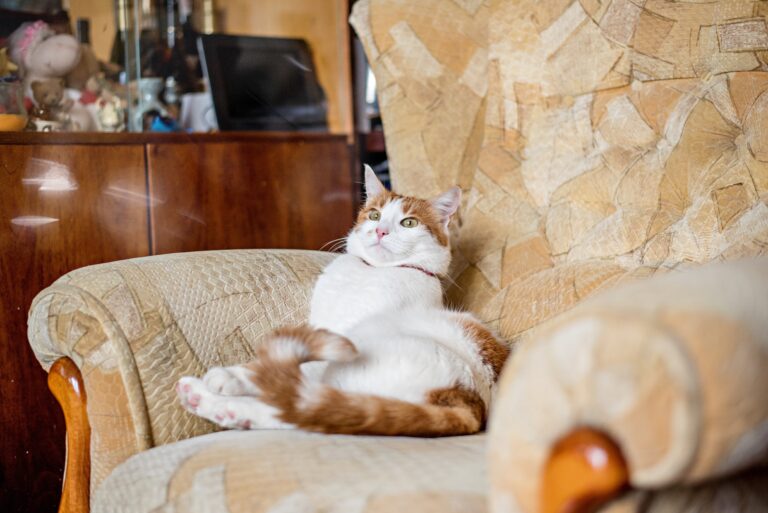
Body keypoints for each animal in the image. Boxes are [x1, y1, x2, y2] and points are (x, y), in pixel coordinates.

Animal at [176, 165, 510, 436]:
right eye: (374, 215)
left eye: (409, 223)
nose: (380, 230)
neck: (371, 273)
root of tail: (466, 398)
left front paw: (236, 375)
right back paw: (212, 404)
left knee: (301, 399)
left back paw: (211, 394)